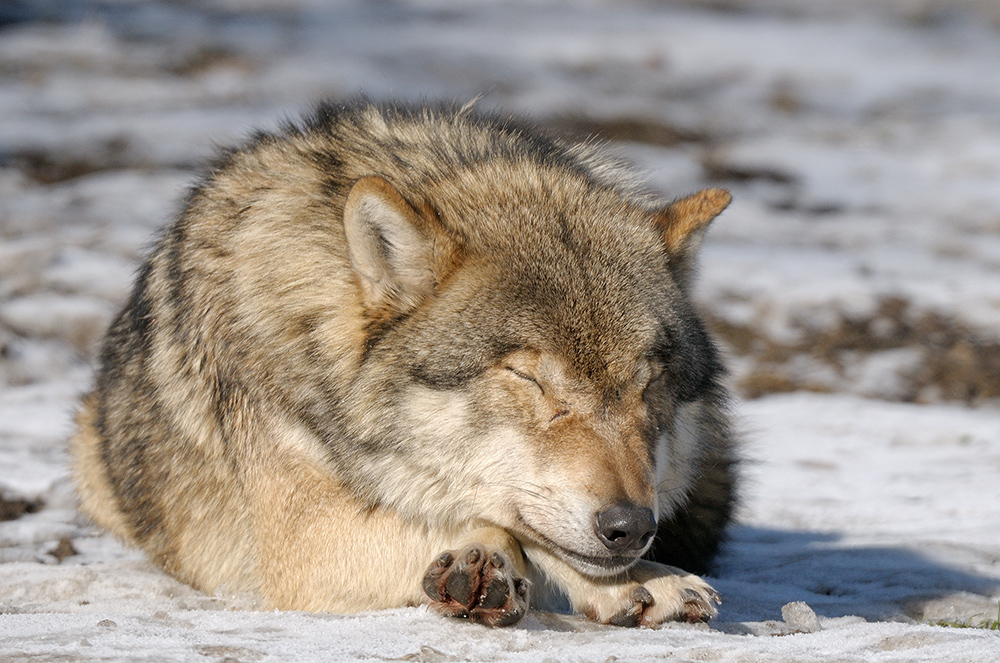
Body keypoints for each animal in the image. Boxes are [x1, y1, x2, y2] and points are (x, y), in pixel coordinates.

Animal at [70, 98, 740, 628]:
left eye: (648, 384)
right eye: (526, 377)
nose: (629, 526)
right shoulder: (305, 546)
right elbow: (502, 521)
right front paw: (640, 580)